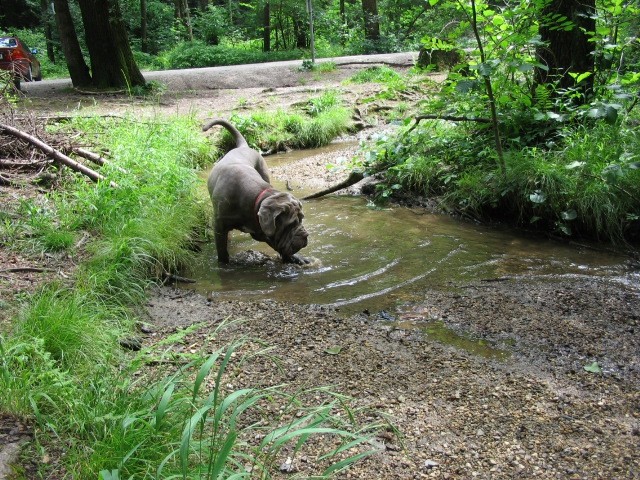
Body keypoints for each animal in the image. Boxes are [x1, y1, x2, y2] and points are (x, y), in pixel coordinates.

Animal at [202, 118, 308, 264]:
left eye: (302, 218)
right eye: (290, 224)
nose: (305, 236)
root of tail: (242, 147)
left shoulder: (261, 230)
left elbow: (277, 245)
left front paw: (296, 258)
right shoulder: (219, 225)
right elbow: (222, 251)